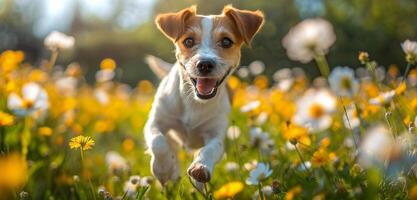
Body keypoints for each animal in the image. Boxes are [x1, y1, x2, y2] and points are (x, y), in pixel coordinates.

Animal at [145, 4, 264, 186]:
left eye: (226, 41)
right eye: (188, 41)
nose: (205, 64)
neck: (194, 101)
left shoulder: (216, 134)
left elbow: (211, 149)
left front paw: (200, 167)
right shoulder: (156, 122)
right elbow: (158, 142)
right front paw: (164, 168)